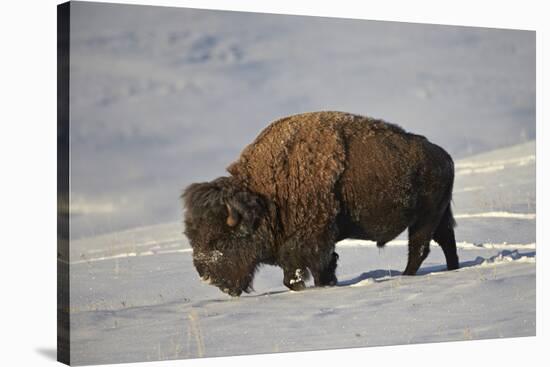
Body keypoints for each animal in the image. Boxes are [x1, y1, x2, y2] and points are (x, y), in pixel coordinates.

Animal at [183, 111, 460, 296]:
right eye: (192, 236)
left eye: (219, 240)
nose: (206, 275)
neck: (264, 197)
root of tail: (445, 157)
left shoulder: (311, 242)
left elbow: (307, 271)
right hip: (438, 217)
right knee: (446, 241)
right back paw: (452, 269)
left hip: (424, 219)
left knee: (419, 249)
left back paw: (407, 276)